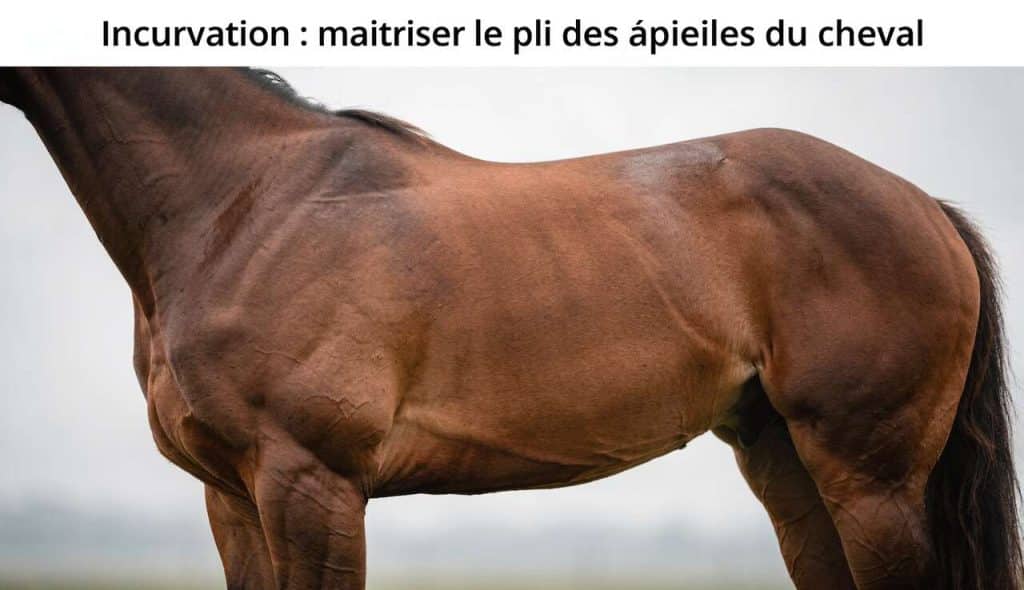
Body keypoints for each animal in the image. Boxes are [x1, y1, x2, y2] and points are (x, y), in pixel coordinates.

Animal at [0, 67, 1018, 590]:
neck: (244, 200)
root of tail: (925, 207)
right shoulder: (231, 497)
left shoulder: (309, 482)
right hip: (787, 465)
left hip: (871, 479)